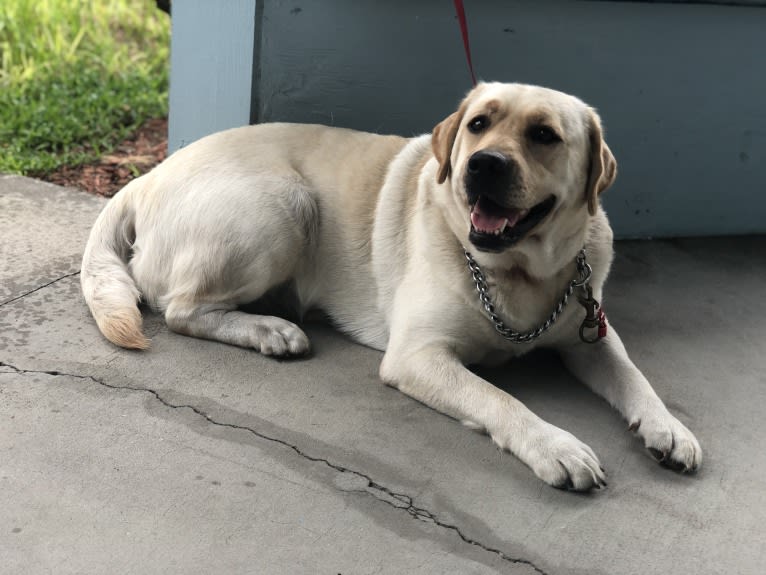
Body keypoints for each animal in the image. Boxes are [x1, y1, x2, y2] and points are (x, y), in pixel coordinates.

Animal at [82, 82, 704, 490]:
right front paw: (555, 445)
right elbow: (500, 398)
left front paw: (668, 428)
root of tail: (146, 178)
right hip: (285, 203)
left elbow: (634, 377)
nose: (483, 164)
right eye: (478, 124)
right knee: (181, 308)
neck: (515, 272)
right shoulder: (418, 356)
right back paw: (269, 329)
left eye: (544, 135)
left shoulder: (591, 333)